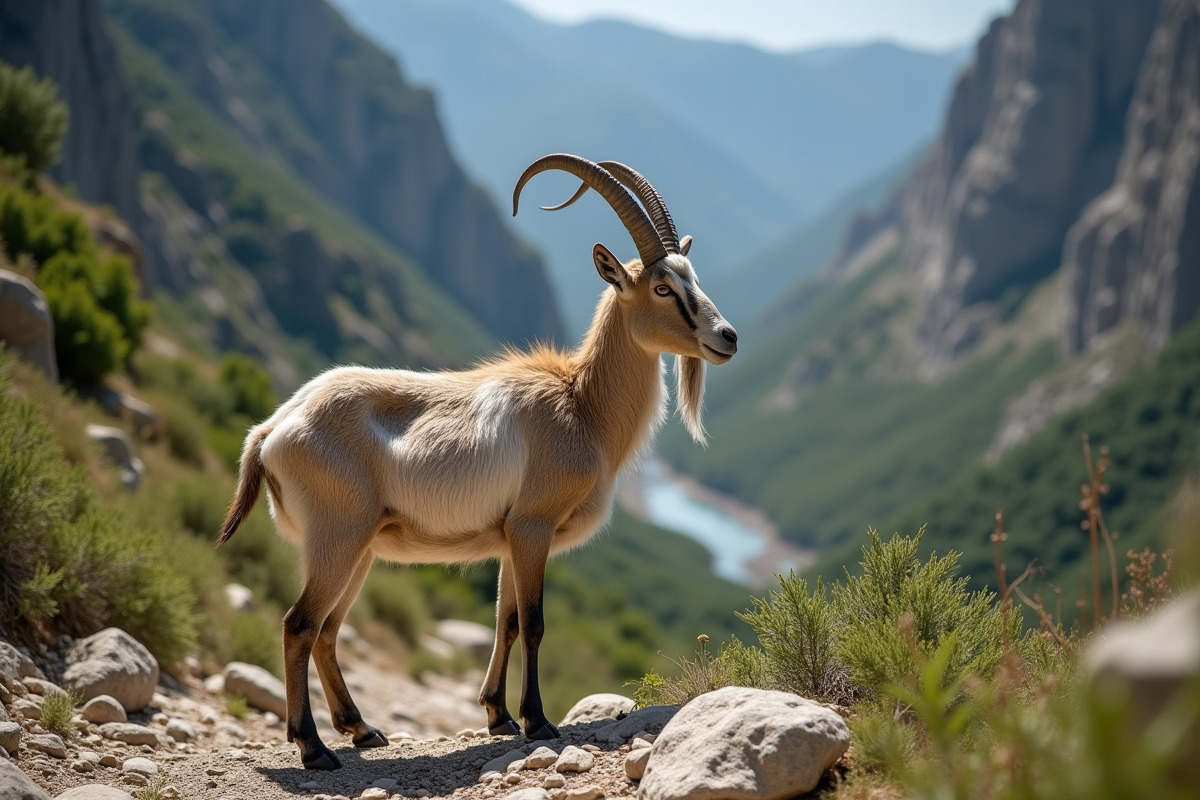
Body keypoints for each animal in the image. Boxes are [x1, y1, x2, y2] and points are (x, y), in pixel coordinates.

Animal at [219, 151, 734, 767]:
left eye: (693, 278)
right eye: (661, 287)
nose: (726, 337)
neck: (579, 403)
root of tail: (272, 429)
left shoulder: (509, 539)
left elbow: (505, 622)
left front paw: (497, 715)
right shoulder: (533, 528)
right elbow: (534, 623)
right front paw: (537, 721)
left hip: (356, 549)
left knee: (327, 629)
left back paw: (362, 730)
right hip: (337, 539)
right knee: (299, 624)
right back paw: (316, 748)